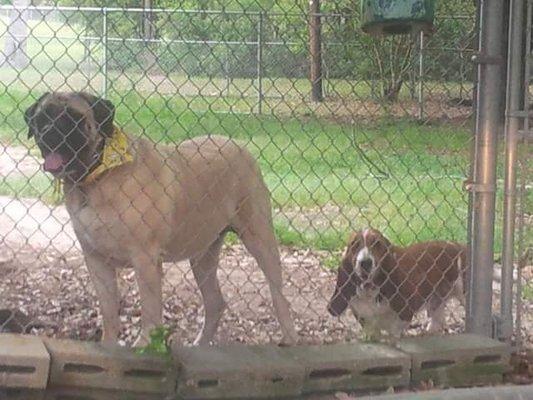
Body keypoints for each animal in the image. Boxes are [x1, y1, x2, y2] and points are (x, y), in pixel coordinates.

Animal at [23, 92, 300, 346]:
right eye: (41, 118)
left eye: (73, 118)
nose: (48, 131)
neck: (97, 177)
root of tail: (240, 146)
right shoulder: (96, 260)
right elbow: (109, 313)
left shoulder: (145, 259)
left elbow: (150, 312)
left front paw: (143, 346)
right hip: (203, 253)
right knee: (215, 301)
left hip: (259, 237)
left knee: (279, 295)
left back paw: (289, 339)